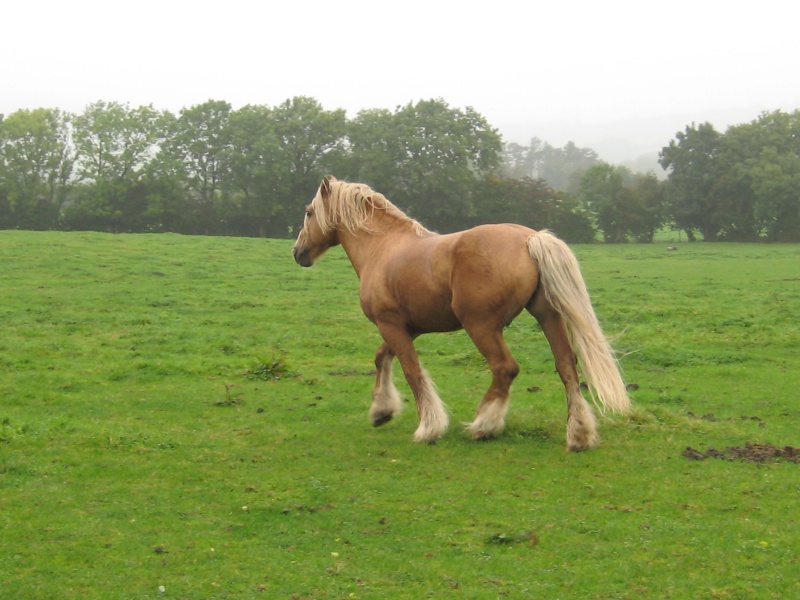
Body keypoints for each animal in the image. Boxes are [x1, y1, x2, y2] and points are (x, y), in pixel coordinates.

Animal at [294, 178, 632, 450]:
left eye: (309, 212)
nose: (298, 253)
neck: (383, 247)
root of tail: (529, 238)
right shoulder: (405, 327)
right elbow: (381, 358)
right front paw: (382, 411)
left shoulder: (390, 324)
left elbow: (412, 371)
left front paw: (428, 427)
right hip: (547, 316)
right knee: (566, 366)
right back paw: (579, 434)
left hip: (481, 326)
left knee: (505, 368)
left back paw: (484, 425)